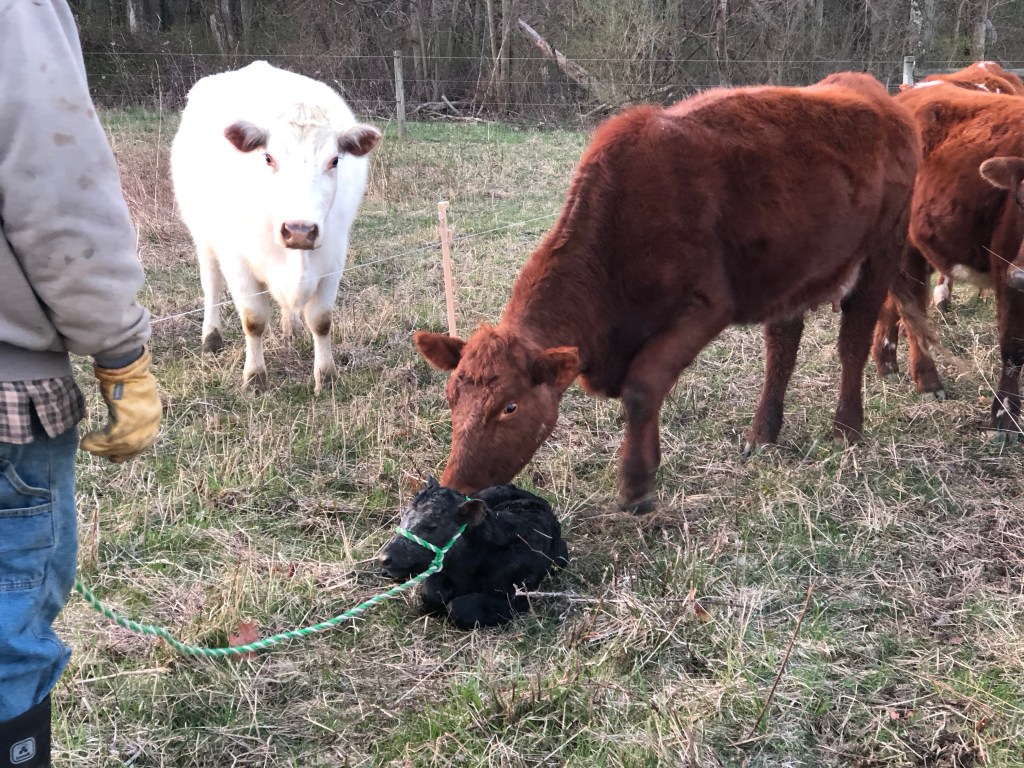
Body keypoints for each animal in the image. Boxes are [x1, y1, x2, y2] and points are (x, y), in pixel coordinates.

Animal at [170, 61, 381, 392]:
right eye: (268, 157)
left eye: (334, 160)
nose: (299, 230)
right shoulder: (237, 261)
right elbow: (253, 320)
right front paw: (255, 377)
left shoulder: (333, 259)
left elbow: (321, 320)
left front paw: (327, 377)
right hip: (202, 234)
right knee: (211, 283)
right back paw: (211, 337)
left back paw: (290, 328)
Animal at [378, 479, 568, 629]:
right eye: (402, 517)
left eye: (432, 526)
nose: (384, 558)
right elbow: (432, 593)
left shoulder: (517, 596)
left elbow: (458, 607)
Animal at [415, 73, 929, 511]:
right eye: (451, 397)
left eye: (509, 406)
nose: (455, 487)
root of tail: (879, 95)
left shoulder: (706, 306)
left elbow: (643, 386)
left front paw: (637, 483)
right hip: (793, 270)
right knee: (782, 348)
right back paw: (763, 432)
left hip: (881, 251)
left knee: (853, 340)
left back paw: (847, 428)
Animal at [871, 83, 1024, 438]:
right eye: (1021, 201)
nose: (1021, 275)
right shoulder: (1007, 272)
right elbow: (1014, 351)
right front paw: (1004, 418)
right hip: (906, 248)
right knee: (912, 310)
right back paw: (927, 381)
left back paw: (886, 362)